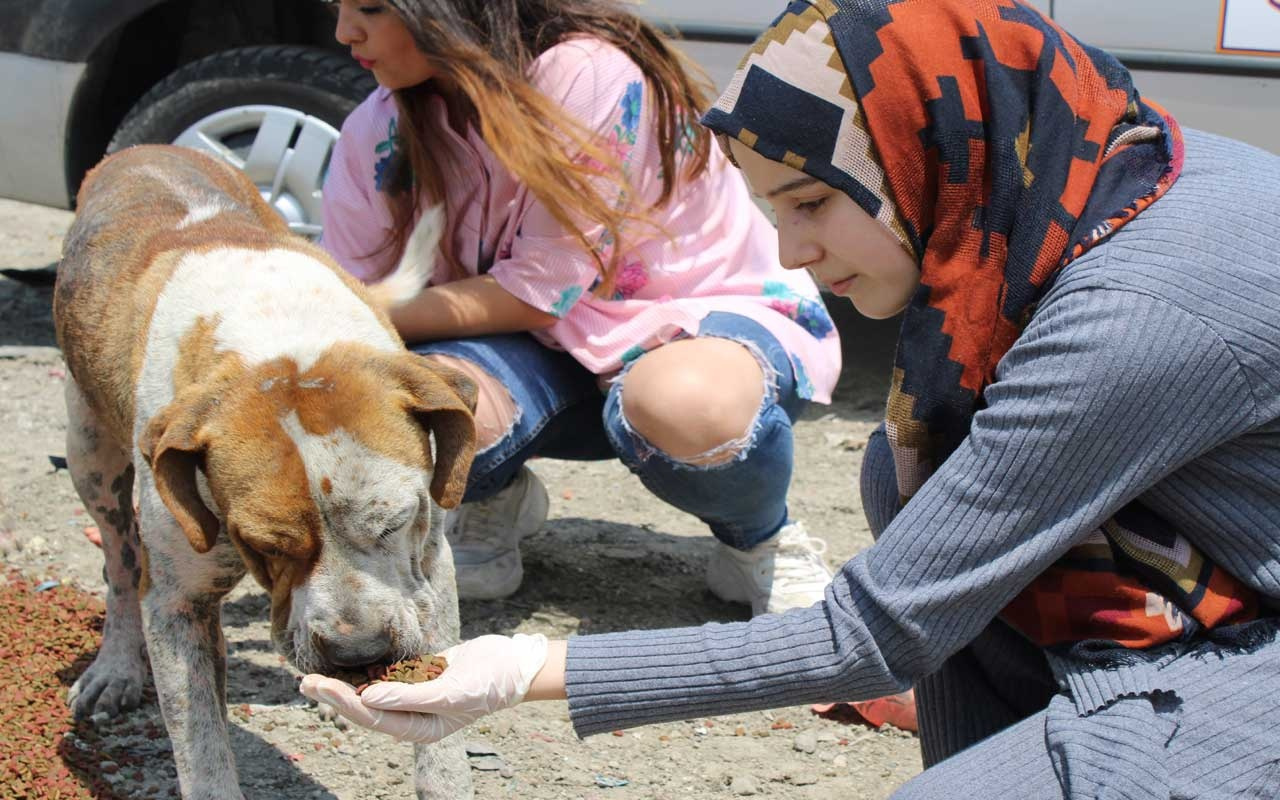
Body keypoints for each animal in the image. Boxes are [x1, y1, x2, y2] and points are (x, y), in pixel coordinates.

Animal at [53, 145, 476, 798]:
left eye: (393, 522)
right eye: (265, 545)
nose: (357, 651)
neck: (280, 337)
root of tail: (144, 149)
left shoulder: (430, 565)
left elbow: (443, 739)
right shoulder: (176, 604)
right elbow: (201, 750)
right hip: (90, 454)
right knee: (120, 566)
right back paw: (117, 664)